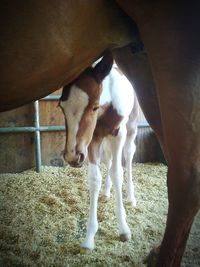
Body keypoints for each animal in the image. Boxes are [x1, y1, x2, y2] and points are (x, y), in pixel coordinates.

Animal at [59, 52, 139, 253]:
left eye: (94, 106)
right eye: (61, 107)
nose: (72, 156)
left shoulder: (118, 133)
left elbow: (118, 172)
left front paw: (123, 229)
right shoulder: (92, 139)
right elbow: (95, 179)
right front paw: (89, 238)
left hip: (131, 128)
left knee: (129, 154)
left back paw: (131, 198)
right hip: (103, 140)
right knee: (109, 159)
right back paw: (106, 193)